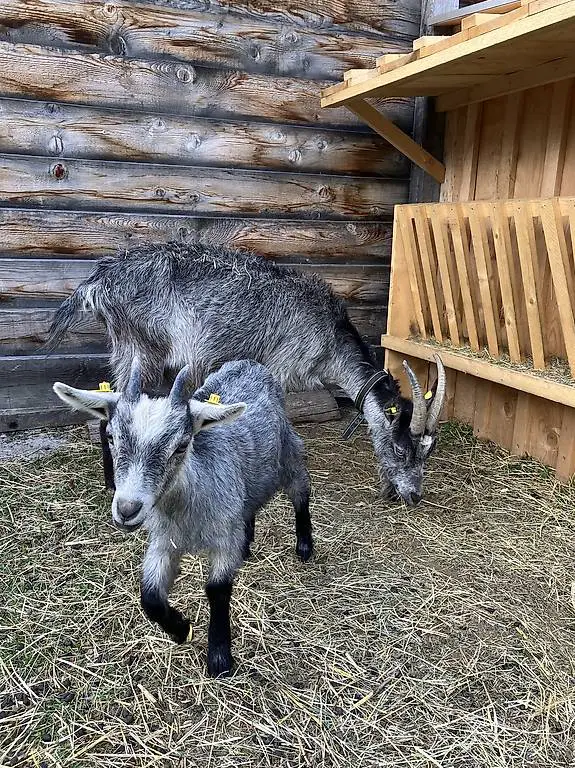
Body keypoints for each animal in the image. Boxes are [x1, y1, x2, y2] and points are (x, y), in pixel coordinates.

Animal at [47, 242, 446, 505]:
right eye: (401, 446)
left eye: (428, 451)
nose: (413, 495)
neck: (329, 336)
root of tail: (99, 281)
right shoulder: (278, 369)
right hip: (146, 346)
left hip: (126, 346)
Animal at [53, 358, 313, 677]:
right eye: (111, 437)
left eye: (181, 445)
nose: (127, 509)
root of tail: (248, 363)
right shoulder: (164, 542)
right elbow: (150, 596)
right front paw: (181, 629)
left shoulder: (223, 539)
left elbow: (217, 591)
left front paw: (219, 657)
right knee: (249, 506)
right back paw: (247, 544)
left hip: (290, 454)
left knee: (300, 493)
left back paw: (305, 544)